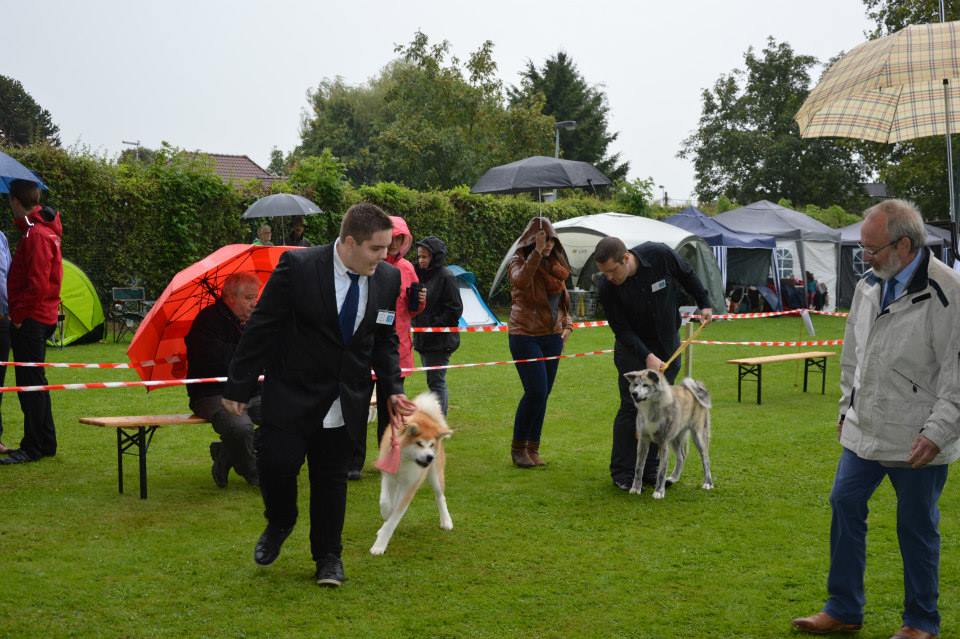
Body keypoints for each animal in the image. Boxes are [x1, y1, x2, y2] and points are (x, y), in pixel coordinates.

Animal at [372, 390, 454, 556]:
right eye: (419, 443)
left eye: (431, 445)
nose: (430, 457)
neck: (405, 459)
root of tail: (425, 413)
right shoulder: (388, 476)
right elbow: (385, 502)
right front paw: (386, 513)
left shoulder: (410, 486)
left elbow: (395, 517)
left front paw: (380, 545)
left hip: (435, 476)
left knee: (440, 497)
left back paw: (446, 520)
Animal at [624, 370, 712, 500]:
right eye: (635, 384)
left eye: (645, 385)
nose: (634, 394)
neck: (651, 408)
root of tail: (691, 388)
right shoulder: (643, 441)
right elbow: (638, 468)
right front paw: (635, 489)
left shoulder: (663, 442)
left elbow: (661, 470)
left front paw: (659, 492)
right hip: (675, 438)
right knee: (681, 456)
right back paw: (673, 478)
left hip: (698, 436)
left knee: (705, 458)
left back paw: (708, 483)